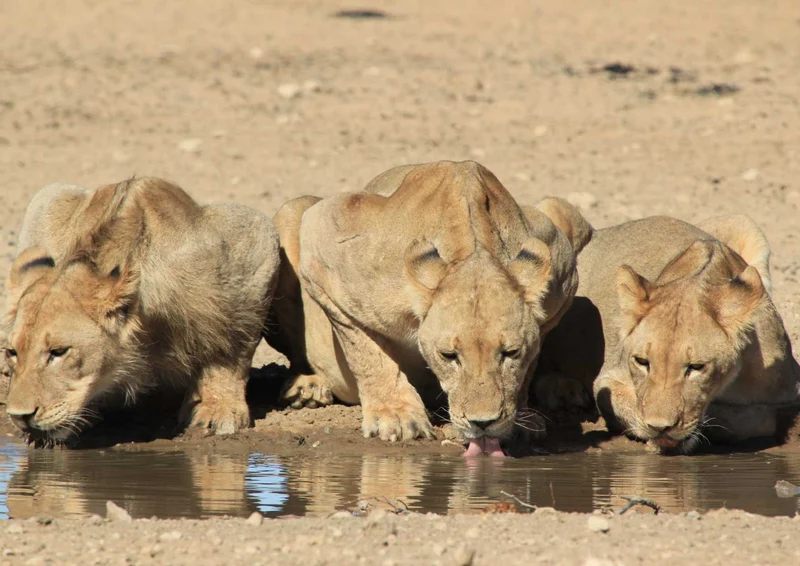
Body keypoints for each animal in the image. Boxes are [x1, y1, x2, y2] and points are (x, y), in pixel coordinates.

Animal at [2, 178, 280, 444]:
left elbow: (230, 348)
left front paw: (218, 408)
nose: (19, 416)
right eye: (12, 352)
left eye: (59, 352)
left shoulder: (256, 242)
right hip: (47, 197)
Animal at [265, 160, 592, 455]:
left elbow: (532, 360)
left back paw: (563, 391)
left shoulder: (564, 272)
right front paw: (396, 416)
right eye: (448, 355)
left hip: (565, 212)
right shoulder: (325, 242)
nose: (483, 423)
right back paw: (309, 387)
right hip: (291, 212)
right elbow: (366, 353)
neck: (472, 248)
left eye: (511, 353)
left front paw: (521, 419)